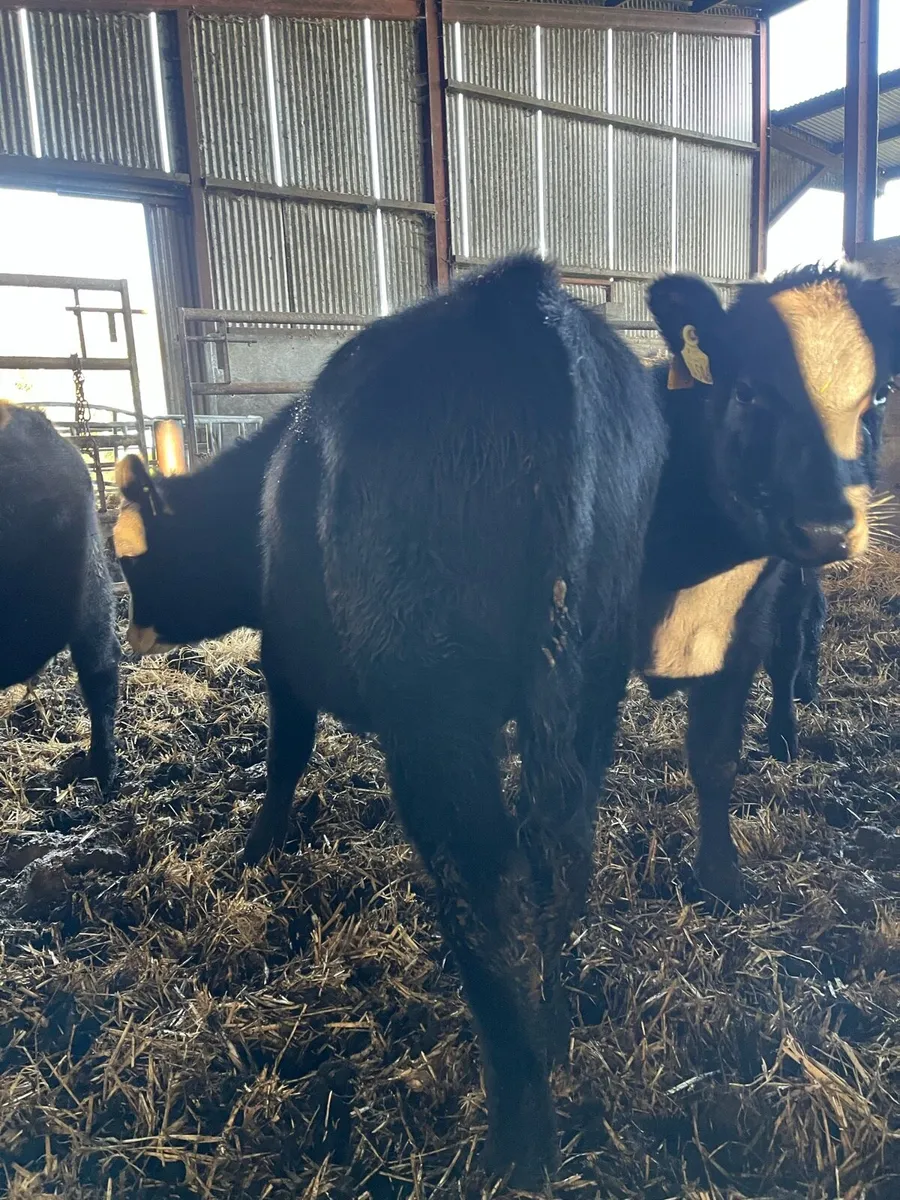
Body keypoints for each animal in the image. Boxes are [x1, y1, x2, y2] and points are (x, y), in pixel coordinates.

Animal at [114, 255, 667, 1187]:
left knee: (484, 879)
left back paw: (519, 1138)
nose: (129, 632)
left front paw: (256, 847)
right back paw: (554, 1033)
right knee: (565, 853)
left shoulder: (284, 657)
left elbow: (286, 754)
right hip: (597, 675)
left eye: (135, 559)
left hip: (433, 700)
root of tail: (523, 296)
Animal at [640, 265, 900, 905]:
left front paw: (719, 878)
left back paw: (786, 730)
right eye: (746, 391)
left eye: (881, 392)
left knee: (790, 652)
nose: (825, 530)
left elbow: (715, 759)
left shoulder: (739, 635)